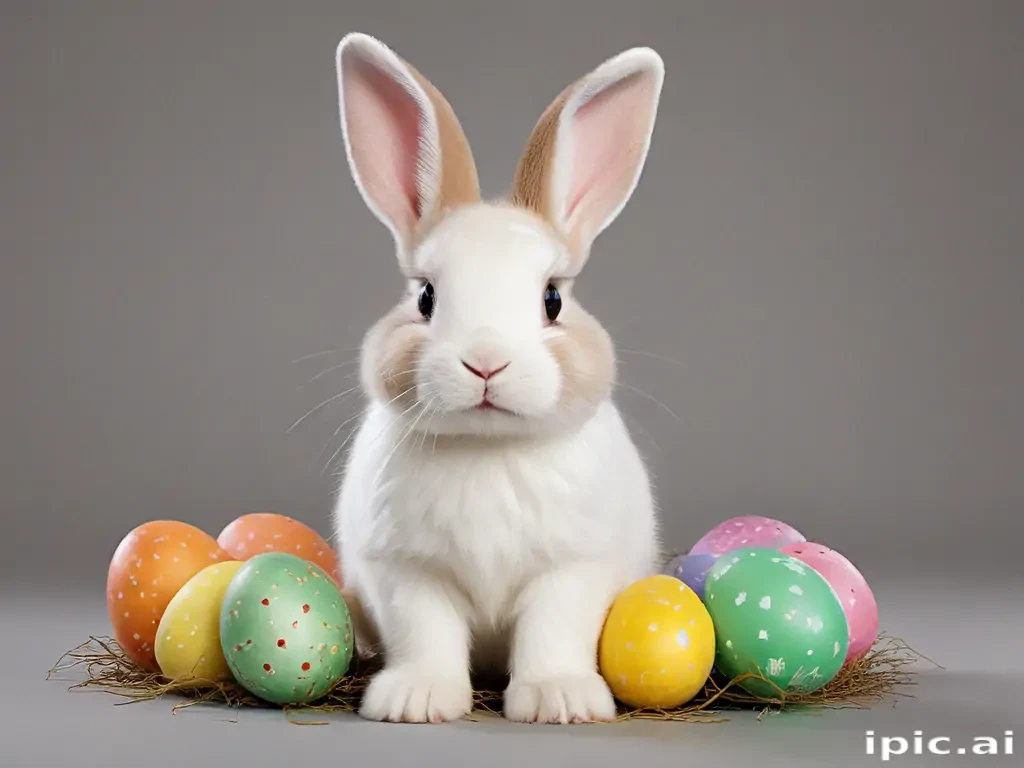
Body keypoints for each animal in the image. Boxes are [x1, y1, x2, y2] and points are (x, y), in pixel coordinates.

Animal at [331, 32, 666, 724]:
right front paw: (415, 700)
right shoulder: (407, 573)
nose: (486, 361)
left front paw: (559, 701)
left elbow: (552, 632)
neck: (487, 449)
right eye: (426, 297)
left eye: (552, 300)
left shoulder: (571, 570)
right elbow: (425, 633)